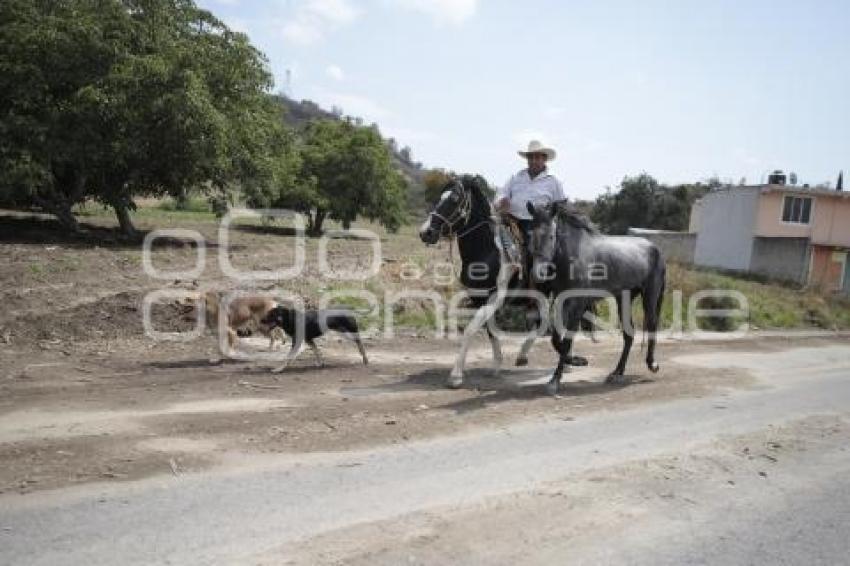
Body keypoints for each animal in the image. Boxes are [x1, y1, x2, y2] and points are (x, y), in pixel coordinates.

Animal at [524, 202, 664, 398]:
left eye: (551, 236)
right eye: (530, 234)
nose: (538, 274)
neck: (572, 255)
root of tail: (654, 248)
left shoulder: (577, 304)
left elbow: (566, 341)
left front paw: (555, 381)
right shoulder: (561, 300)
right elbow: (556, 339)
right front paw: (576, 361)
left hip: (650, 296)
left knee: (651, 325)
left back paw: (652, 364)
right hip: (624, 299)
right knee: (629, 334)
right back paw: (617, 373)